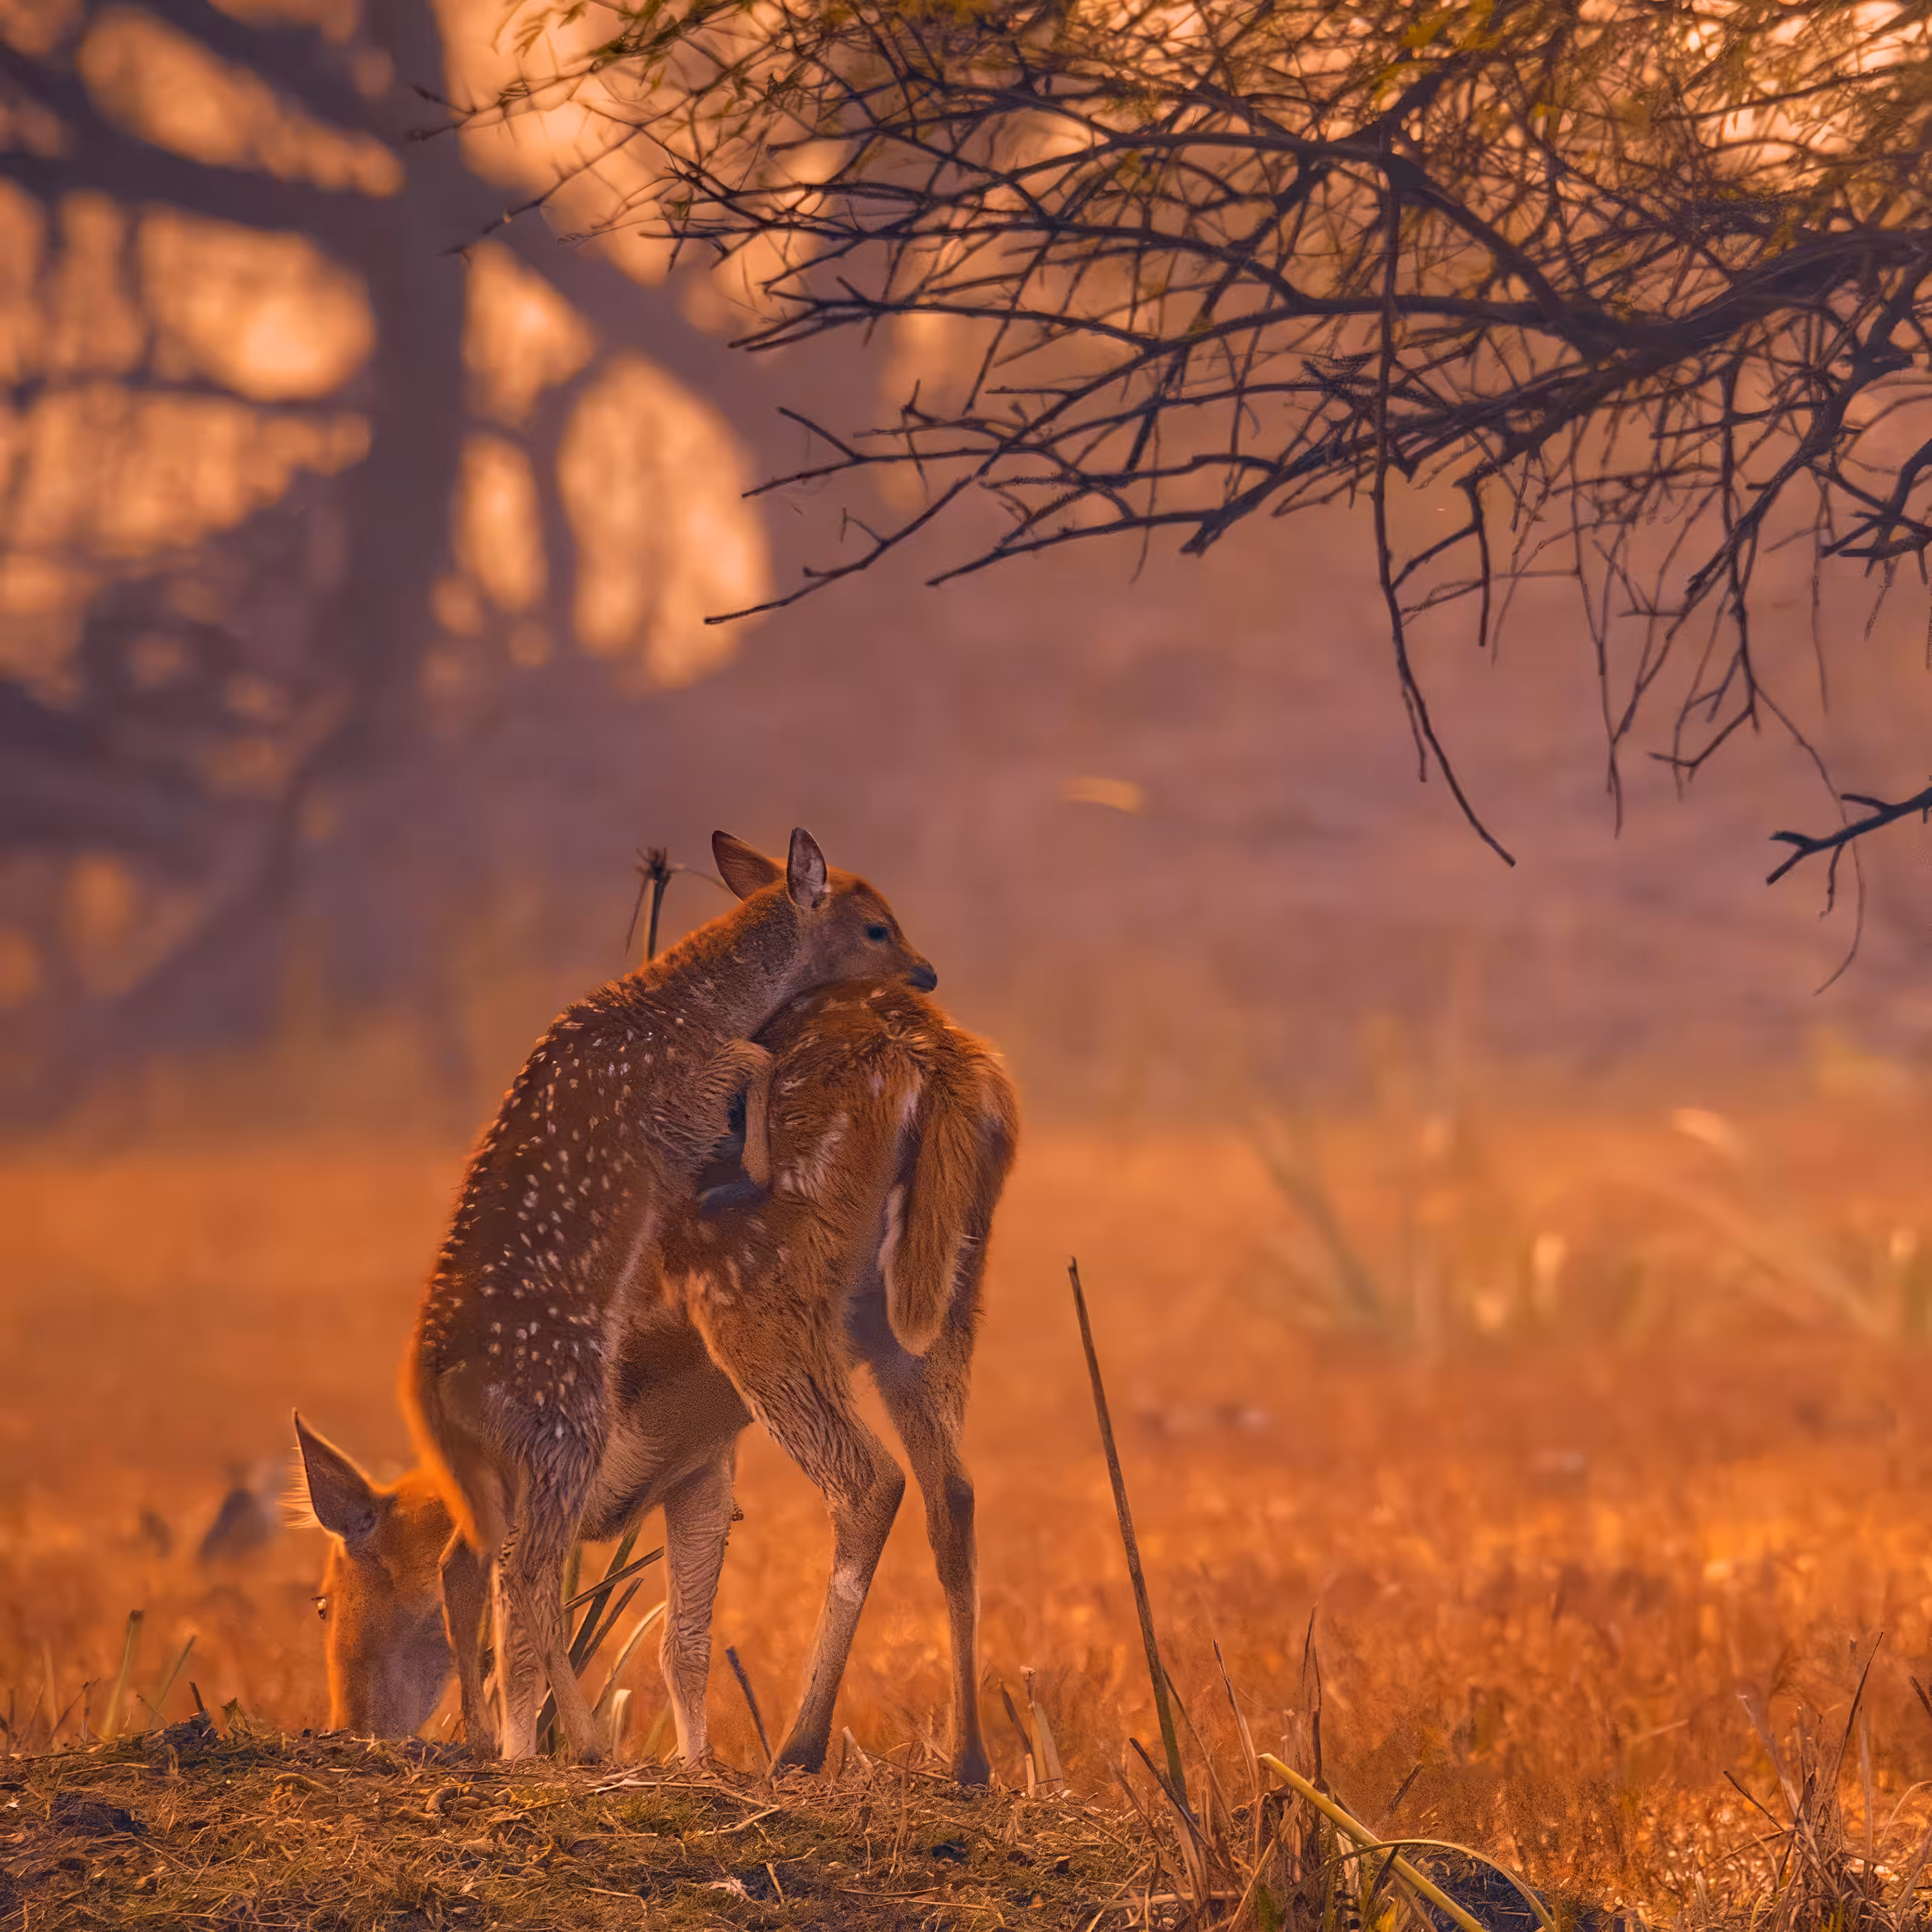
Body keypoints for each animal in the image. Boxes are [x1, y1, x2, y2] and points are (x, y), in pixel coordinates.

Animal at [292, 976, 1018, 1783]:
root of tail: (935, 1060)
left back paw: (799, 1748)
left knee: (869, 1482)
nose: (348, 1725)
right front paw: (689, 1760)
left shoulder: (549, 1464)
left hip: (756, 1293)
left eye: (322, 1601)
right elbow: (682, 1644)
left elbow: (518, 1631)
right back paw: (969, 1761)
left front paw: (525, 1752)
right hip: (941, 1302)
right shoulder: (702, 1472)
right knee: (953, 1493)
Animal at [400, 828, 939, 1762]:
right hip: (567, 1423)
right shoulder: (682, 1097)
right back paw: (552, 1745)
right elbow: (754, 1060)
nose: (927, 972)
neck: (685, 1005)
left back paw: (492, 1738)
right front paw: (751, 1164)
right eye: (877, 925)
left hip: (503, 1465)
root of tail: (428, 1381)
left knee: (474, 1566)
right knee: (528, 1572)